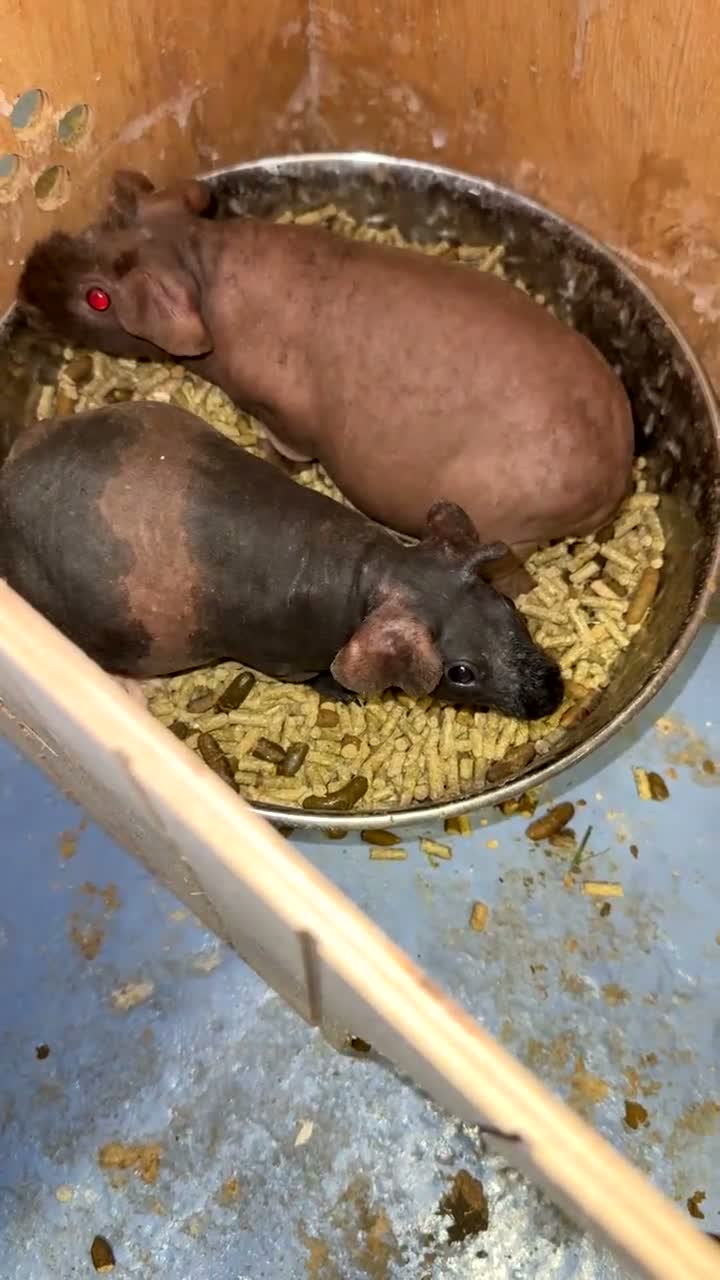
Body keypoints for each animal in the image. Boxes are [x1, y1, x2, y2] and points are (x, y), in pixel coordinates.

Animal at [0, 401, 563, 721]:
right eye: (461, 672)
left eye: (507, 607)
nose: (552, 694)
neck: (374, 572)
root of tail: (12, 473)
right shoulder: (286, 661)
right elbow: (322, 679)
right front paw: (345, 695)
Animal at [17, 169, 634, 558]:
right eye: (100, 227)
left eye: (100, 298)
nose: (24, 286)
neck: (202, 265)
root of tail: (613, 479)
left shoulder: (284, 412)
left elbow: (287, 449)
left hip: (501, 524)